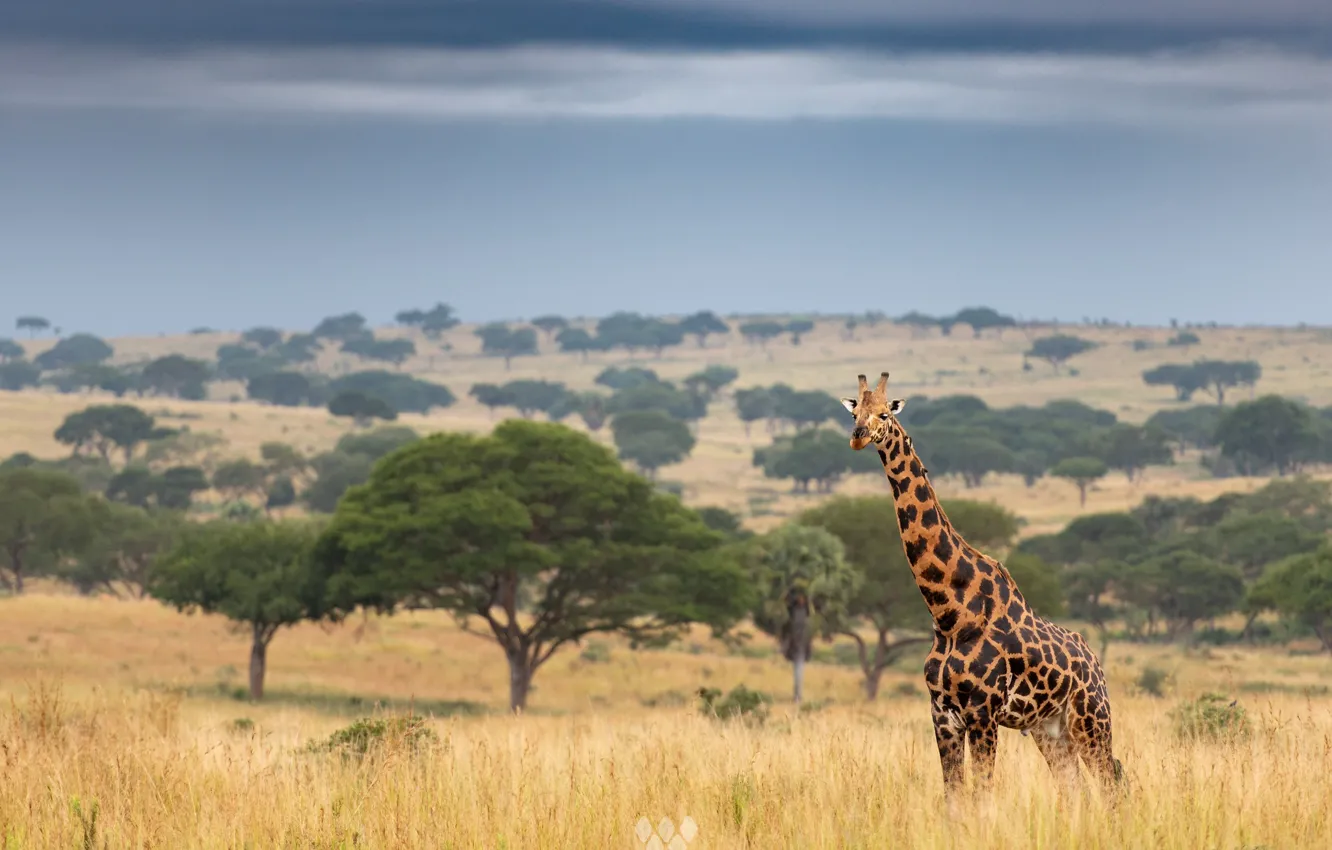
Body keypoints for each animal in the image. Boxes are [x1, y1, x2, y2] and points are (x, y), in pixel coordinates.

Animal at [839, 372, 1123, 795]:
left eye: (886, 413)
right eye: (854, 410)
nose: (858, 436)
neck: (949, 612)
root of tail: (1095, 663)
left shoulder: (982, 712)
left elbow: (983, 794)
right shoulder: (942, 714)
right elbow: (955, 794)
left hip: (1091, 719)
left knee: (1113, 782)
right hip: (1050, 729)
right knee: (1074, 788)